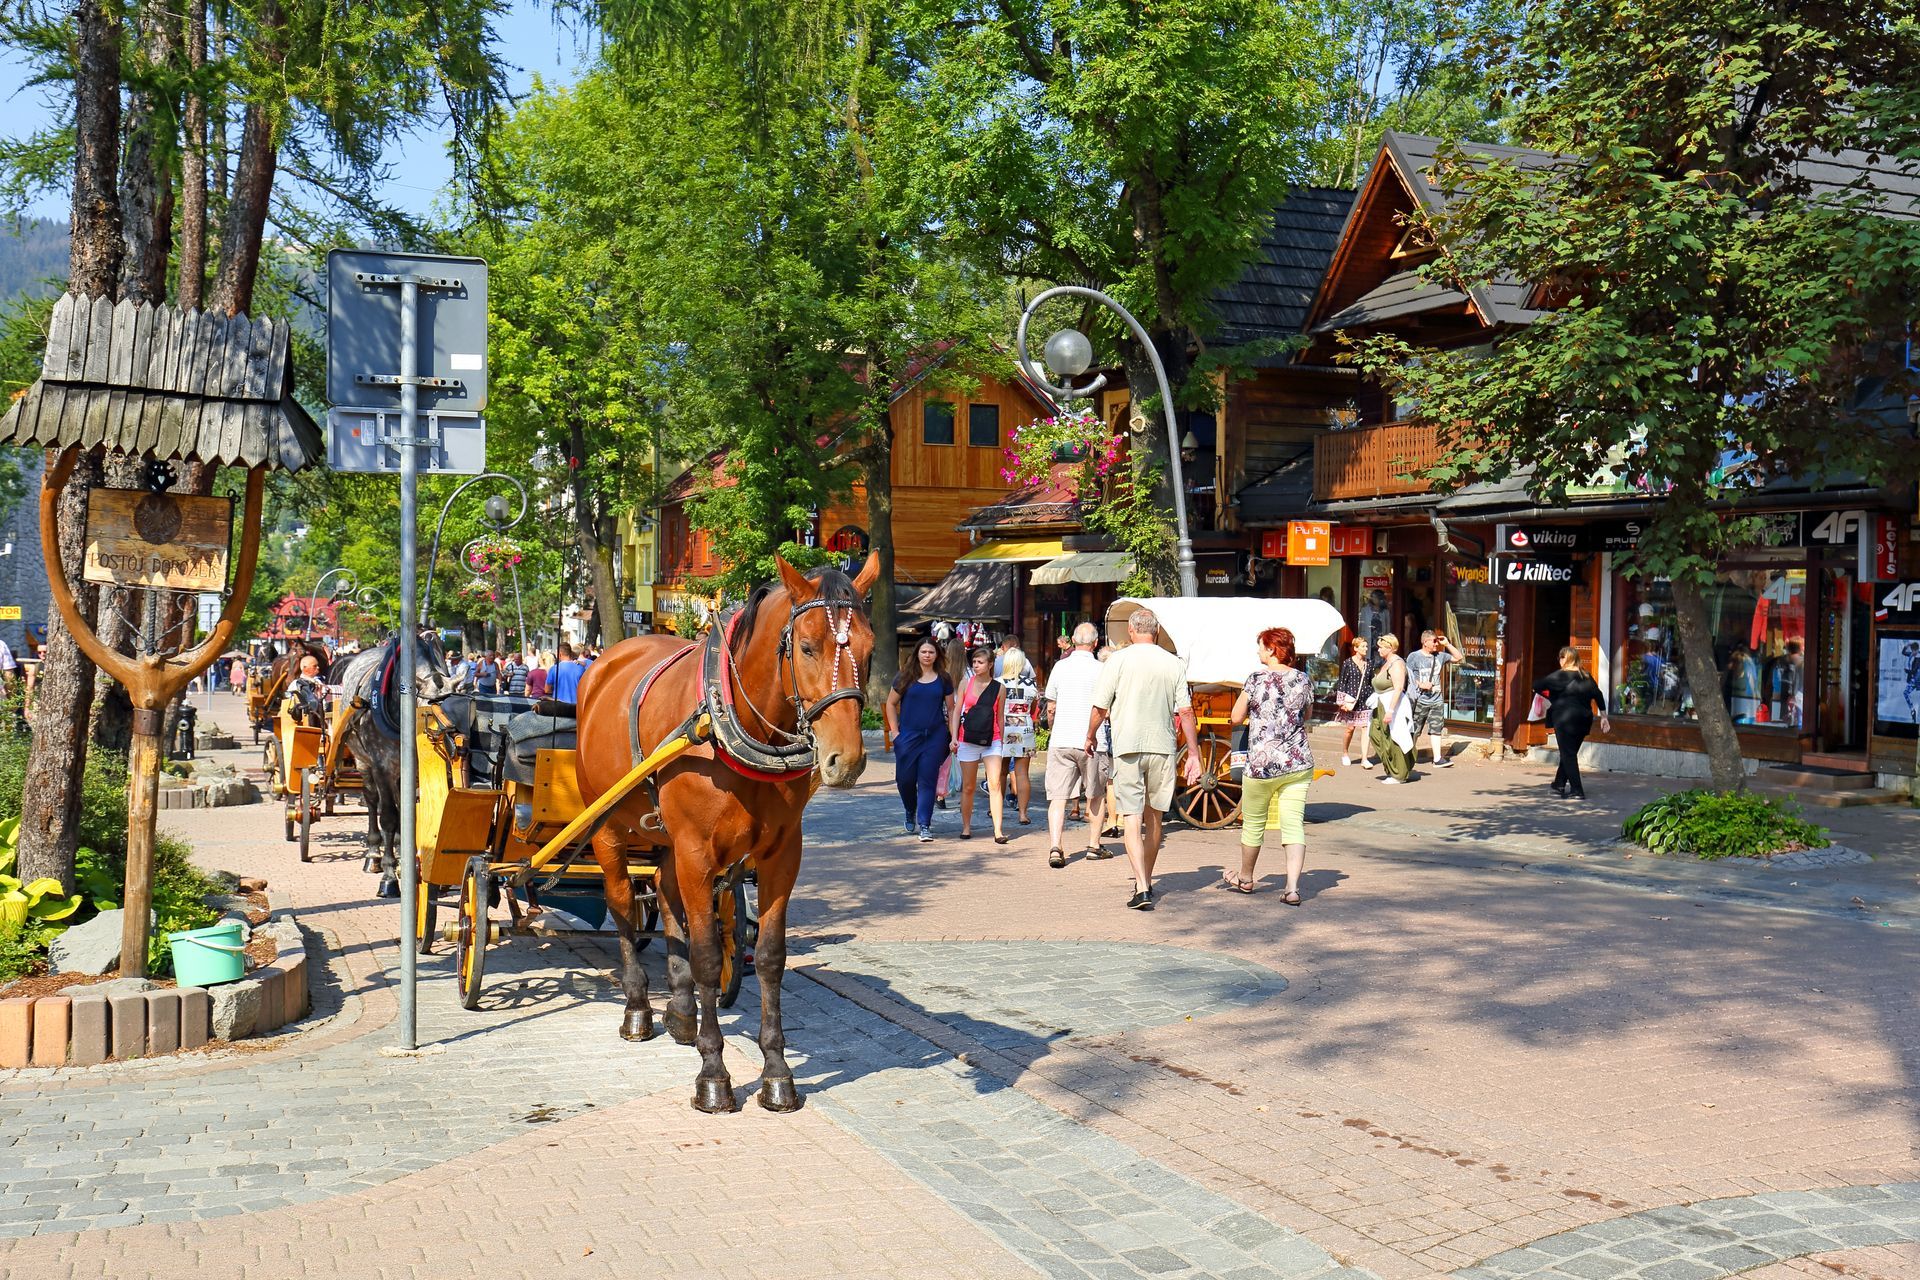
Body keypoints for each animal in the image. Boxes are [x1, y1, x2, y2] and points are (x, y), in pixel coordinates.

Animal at [335, 631, 452, 896]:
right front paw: (389, 876)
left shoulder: (416, 770)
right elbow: (388, 817)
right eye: (429, 712)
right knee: (372, 801)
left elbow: (414, 814)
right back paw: (373, 856)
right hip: (363, 763)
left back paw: (399, 848)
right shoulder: (382, 767)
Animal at [574, 554, 878, 1114]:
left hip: (667, 841)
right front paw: (713, 1074)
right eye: (807, 646)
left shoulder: (781, 854)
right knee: (624, 904)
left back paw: (679, 1011)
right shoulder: (697, 852)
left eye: (869, 650)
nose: (844, 760)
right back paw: (638, 1008)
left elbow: (770, 957)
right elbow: (708, 955)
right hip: (607, 827)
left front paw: (777, 1073)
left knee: (665, 897)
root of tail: (605, 660)